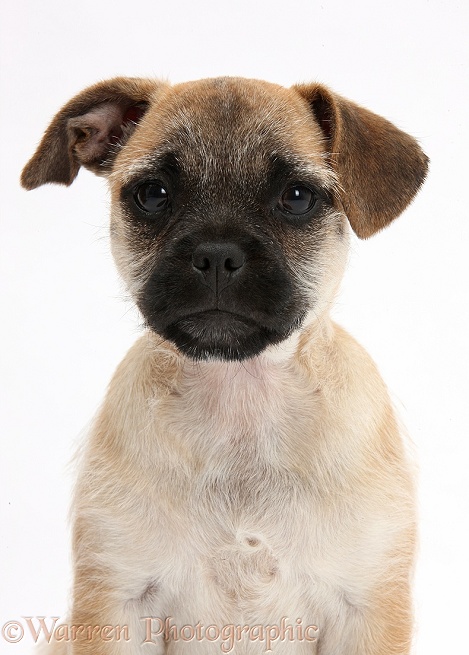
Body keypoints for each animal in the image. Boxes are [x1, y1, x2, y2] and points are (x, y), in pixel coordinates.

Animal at [22, 78, 426, 655]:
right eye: (153, 194)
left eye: (296, 197)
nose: (216, 254)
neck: (240, 399)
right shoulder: (118, 603)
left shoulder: (367, 608)